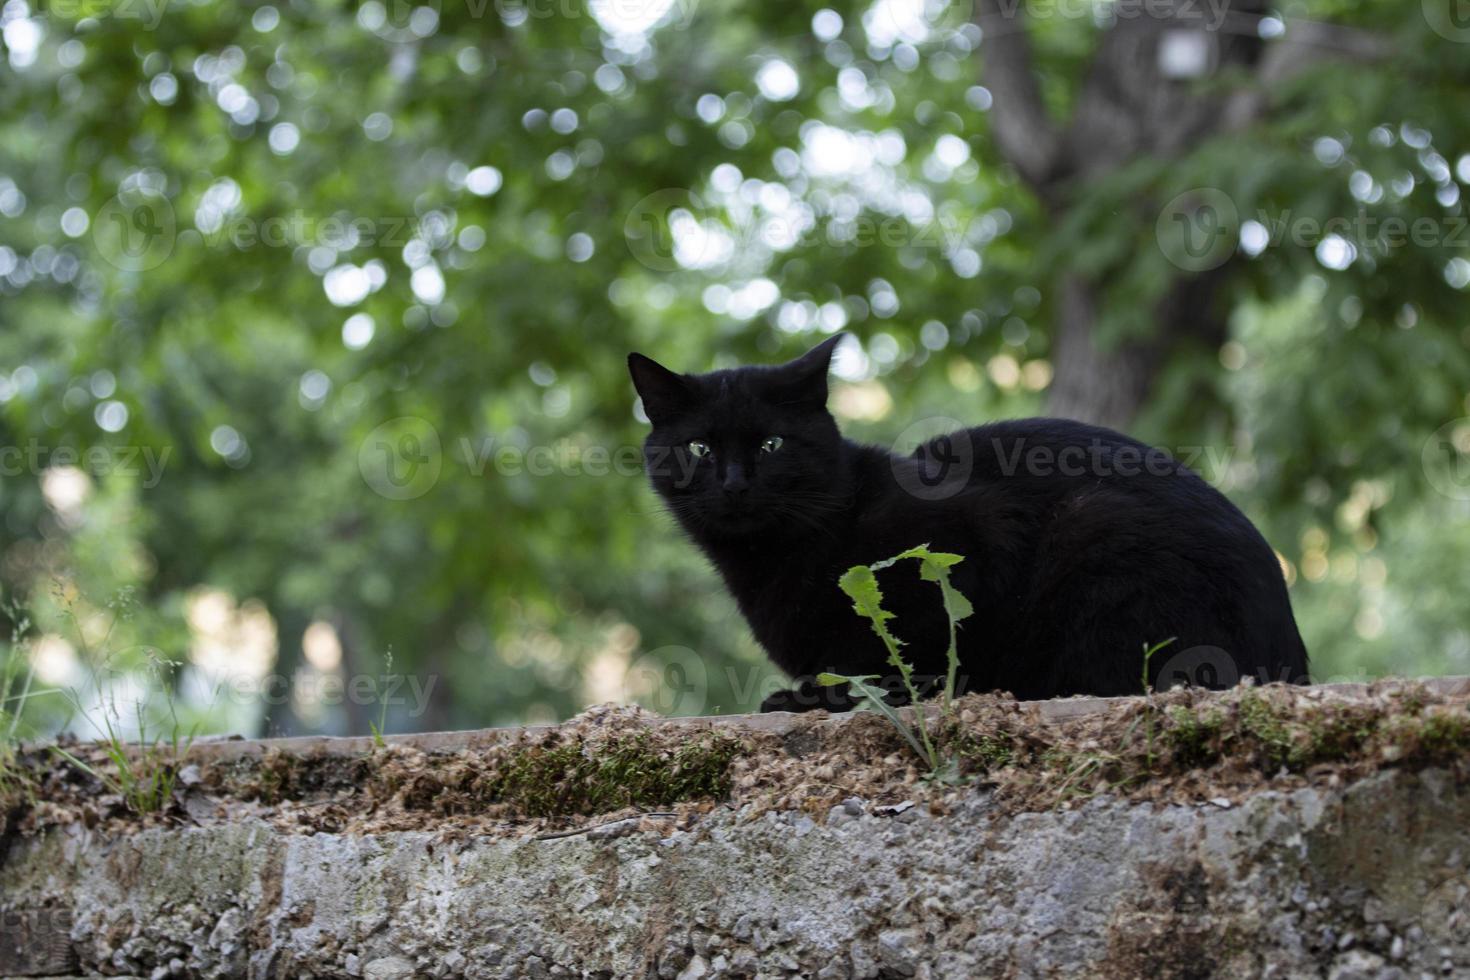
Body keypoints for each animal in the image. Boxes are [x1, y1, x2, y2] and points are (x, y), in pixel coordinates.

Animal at [629, 337, 1311, 714]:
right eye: (698, 448)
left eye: (771, 445)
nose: (734, 483)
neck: (768, 559)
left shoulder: (971, 538)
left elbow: (908, 649)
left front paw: (865, 694)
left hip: (1096, 528)